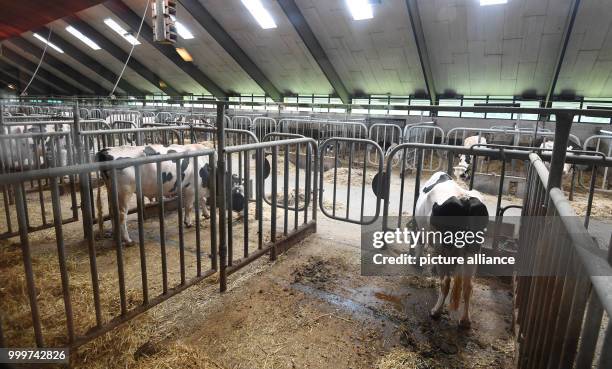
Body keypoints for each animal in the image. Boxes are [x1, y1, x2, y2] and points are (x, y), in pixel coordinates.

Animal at [414, 171, 490, 330]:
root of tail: (464, 199)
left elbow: (420, 242)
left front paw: (417, 261)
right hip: (473, 250)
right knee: (468, 285)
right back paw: (465, 320)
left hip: (444, 247)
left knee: (446, 281)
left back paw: (435, 311)